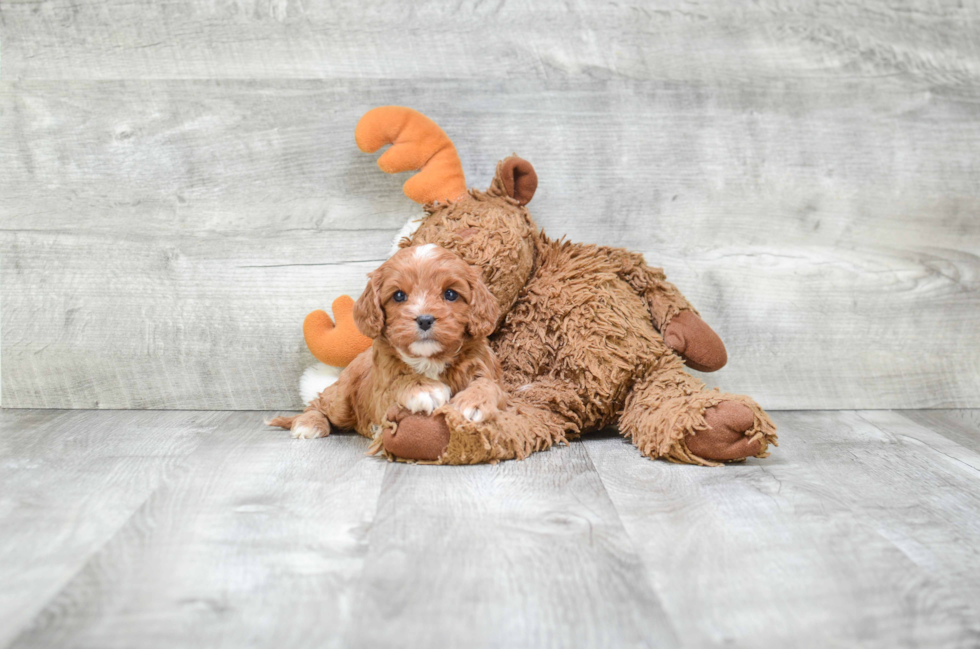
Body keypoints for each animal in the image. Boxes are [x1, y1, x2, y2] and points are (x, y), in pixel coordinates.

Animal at [272, 242, 510, 450]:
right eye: (398, 295)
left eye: (450, 294)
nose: (424, 319)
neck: (430, 359)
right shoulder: (381, 391)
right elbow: (398, 382)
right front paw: (423, 388)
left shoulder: (486, 369)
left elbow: (489, 385)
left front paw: (473, 402)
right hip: (341, 400)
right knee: (318, 403)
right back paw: (309, 423)